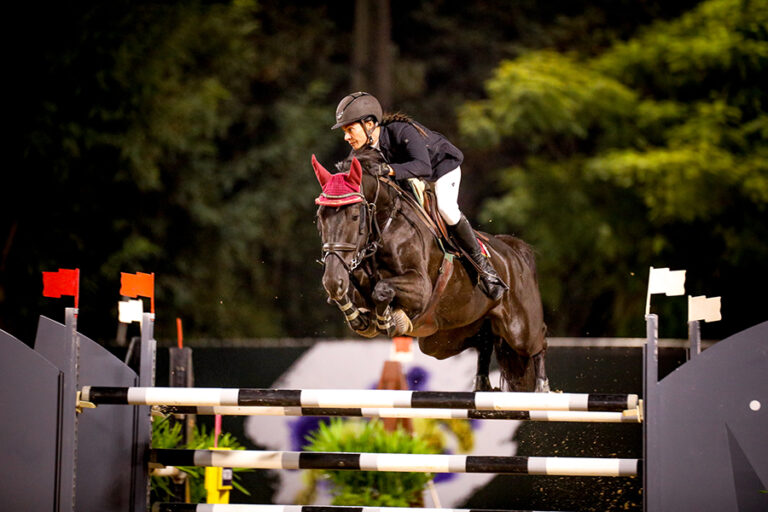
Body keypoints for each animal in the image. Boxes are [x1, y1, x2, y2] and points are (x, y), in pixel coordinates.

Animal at [308, 149, 548, 392]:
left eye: (355, 216)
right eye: (320, 216)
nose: (333, 279)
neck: (384, 226)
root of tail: (514, 251)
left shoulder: (421, 289)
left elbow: (382, 289)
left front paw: (388, 320)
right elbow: (349, 294)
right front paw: (358, 317)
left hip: (520, 330)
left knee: (538, 341)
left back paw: (542, 386)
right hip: (443, 339)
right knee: (484, 341)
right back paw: (482, 384)